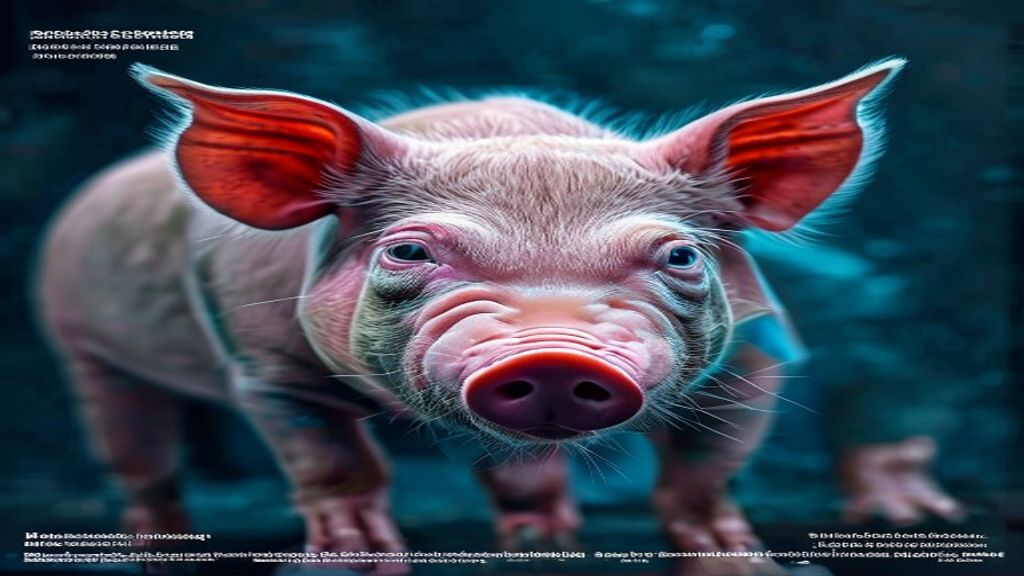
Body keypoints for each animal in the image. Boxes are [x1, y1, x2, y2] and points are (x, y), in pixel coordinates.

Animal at [38, 58, 904, 570]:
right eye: (408, 252)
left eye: (681, 257)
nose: (553, 354)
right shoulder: (267, 368)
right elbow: (333, 460)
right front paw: (357, 552)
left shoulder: (756, 349)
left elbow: (707, 464)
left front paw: (731, 550)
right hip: (82, 343)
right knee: (134, 446)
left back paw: (544, 537)